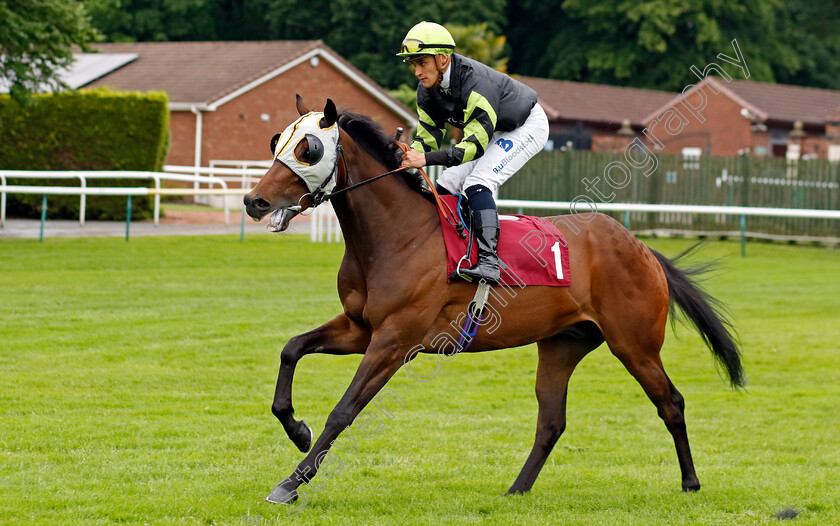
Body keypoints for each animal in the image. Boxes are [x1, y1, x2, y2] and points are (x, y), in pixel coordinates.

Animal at [241, 98, 740, 508]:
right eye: (277, 141)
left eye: (308, 149)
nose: (253, 200)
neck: (398, 234)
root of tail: (641, 248)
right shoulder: (359, 327)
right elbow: (291, 348)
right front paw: (296, 429)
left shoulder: (394, 341)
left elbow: (343, 410)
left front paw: (291, 482)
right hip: (562, 344)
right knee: (551, 421)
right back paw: (516, 489)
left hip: (634, 345)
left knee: (671, 402)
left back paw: (691, 483)